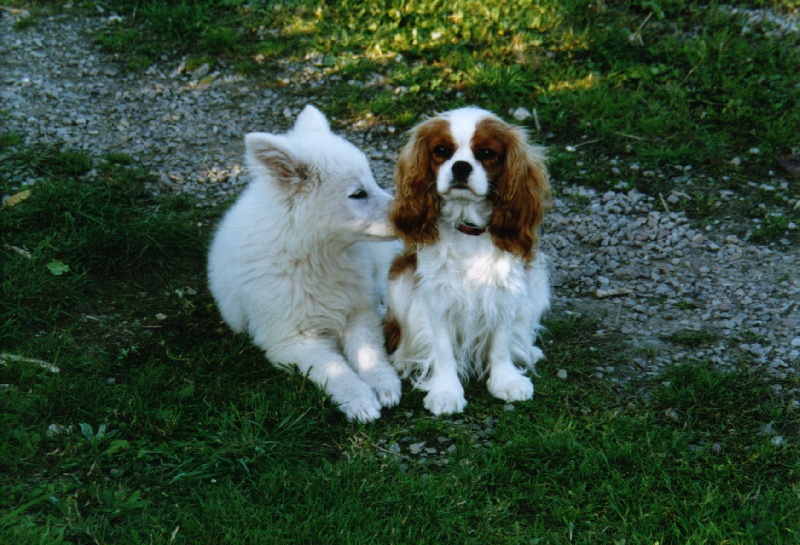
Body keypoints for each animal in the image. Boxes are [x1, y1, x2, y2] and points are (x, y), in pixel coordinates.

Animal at [208, 105, 400, 420]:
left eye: (373, 181)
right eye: (358, 194)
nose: (406, 216)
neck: (314, 256)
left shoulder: (359, 312)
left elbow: (369, 351)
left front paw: (383, 382)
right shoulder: (292, 340)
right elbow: (333, 368)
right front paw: (358, 398)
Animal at [382, 105, 552, 412]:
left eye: (486, 153)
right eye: (441, 150)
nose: (461, 166)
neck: (467, 226)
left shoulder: (505, 290)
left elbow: (501, 343)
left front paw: (506, 381)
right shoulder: (437, 296)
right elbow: (443, 348)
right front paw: (446, 392)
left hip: (538, 282)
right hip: (399, 280)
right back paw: (402, 357)